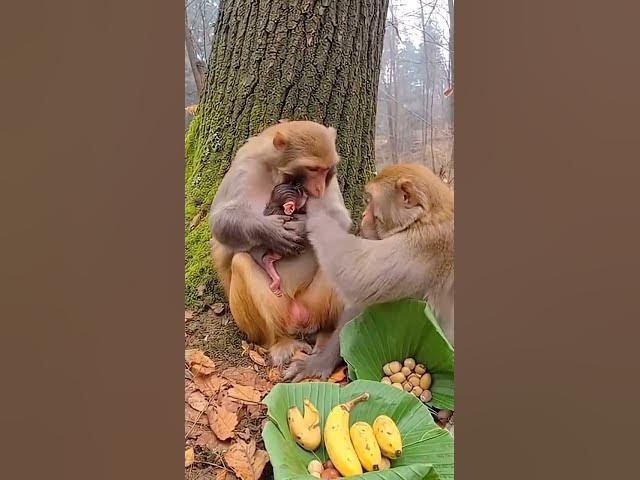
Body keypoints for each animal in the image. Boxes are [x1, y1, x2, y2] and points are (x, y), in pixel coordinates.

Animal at [209, 120, 353, 366]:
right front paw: (271, 231)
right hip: (276, 313)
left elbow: (340, 217)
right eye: (312, 169)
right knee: (241, 262)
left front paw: (302, 227)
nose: (319, 189)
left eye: (325, 170)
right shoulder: (246, 166)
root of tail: (299, 318)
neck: (276, 170)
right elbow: (220, 222)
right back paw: (279, 341)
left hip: (314, 305)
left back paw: (326, 335)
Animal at [283, 163, 454, 382]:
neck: (425, 217)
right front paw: (320, 362)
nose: (364, 215)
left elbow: (355, 275)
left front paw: (316, 209)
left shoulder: (423, 245)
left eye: (371, 200)